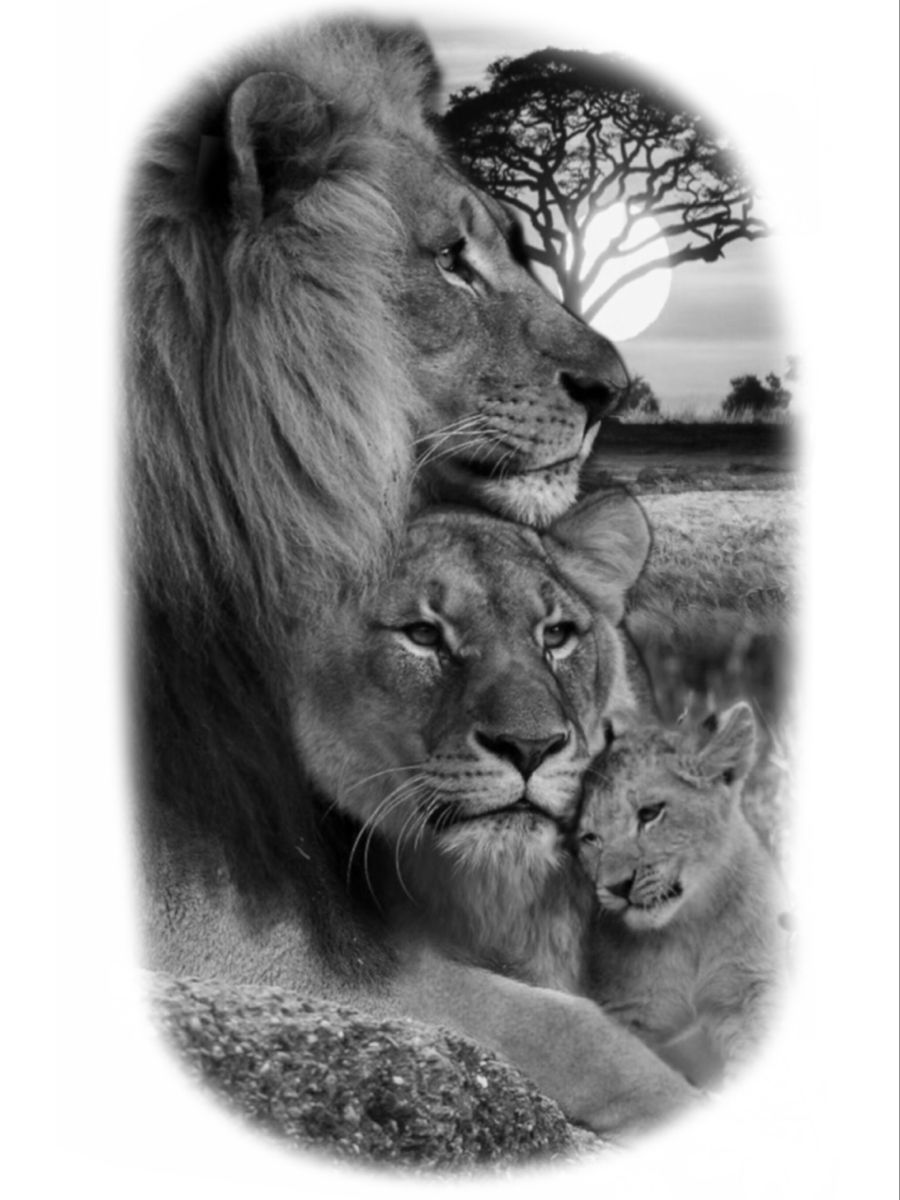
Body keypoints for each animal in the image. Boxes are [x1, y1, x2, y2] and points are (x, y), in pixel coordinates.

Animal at [576, 706, 788, 1088]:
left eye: (649, 813)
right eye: (590, 838)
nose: (616, 887)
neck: (691, 923)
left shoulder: (751, 986)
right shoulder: (627, 1012)